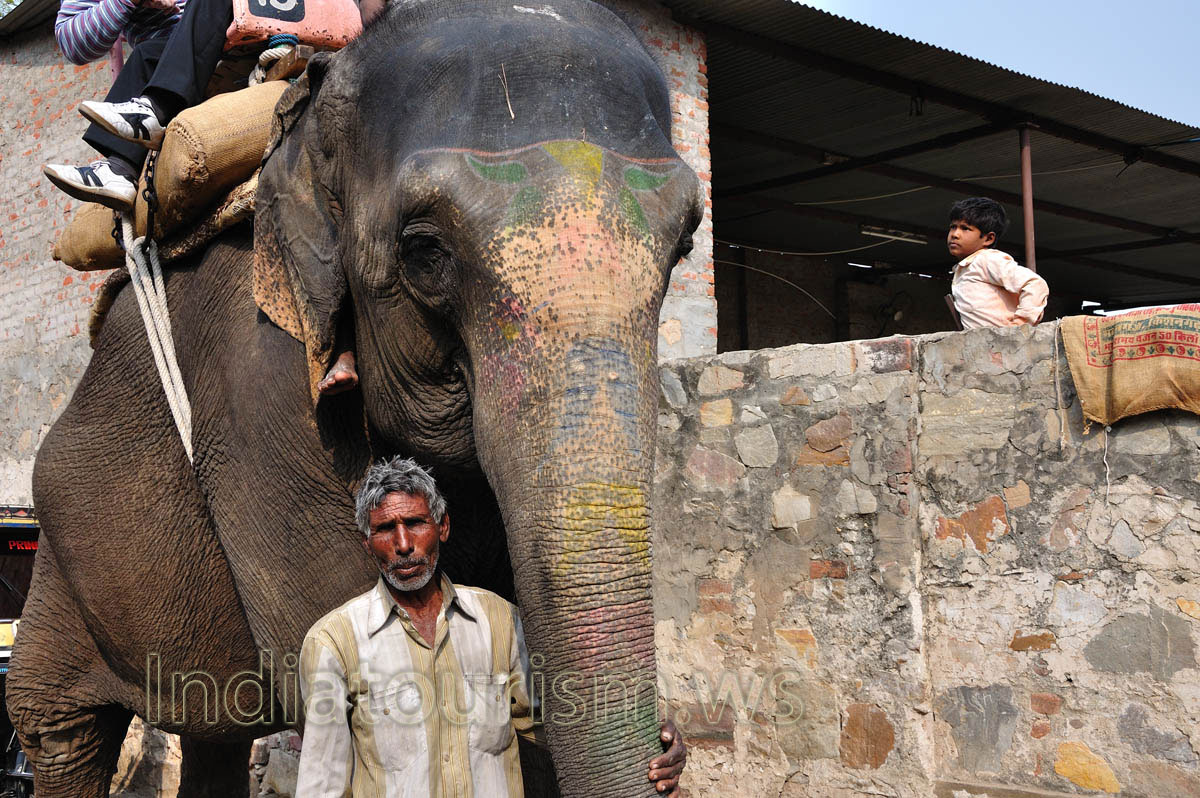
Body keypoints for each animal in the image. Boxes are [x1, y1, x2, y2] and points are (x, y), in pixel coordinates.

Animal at [8, 1, 702, 796]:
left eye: (686, 244)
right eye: (425, 249)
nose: (665, 750)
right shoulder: (259, 392)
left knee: (211, 731)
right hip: (61, 550)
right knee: (61, 729)